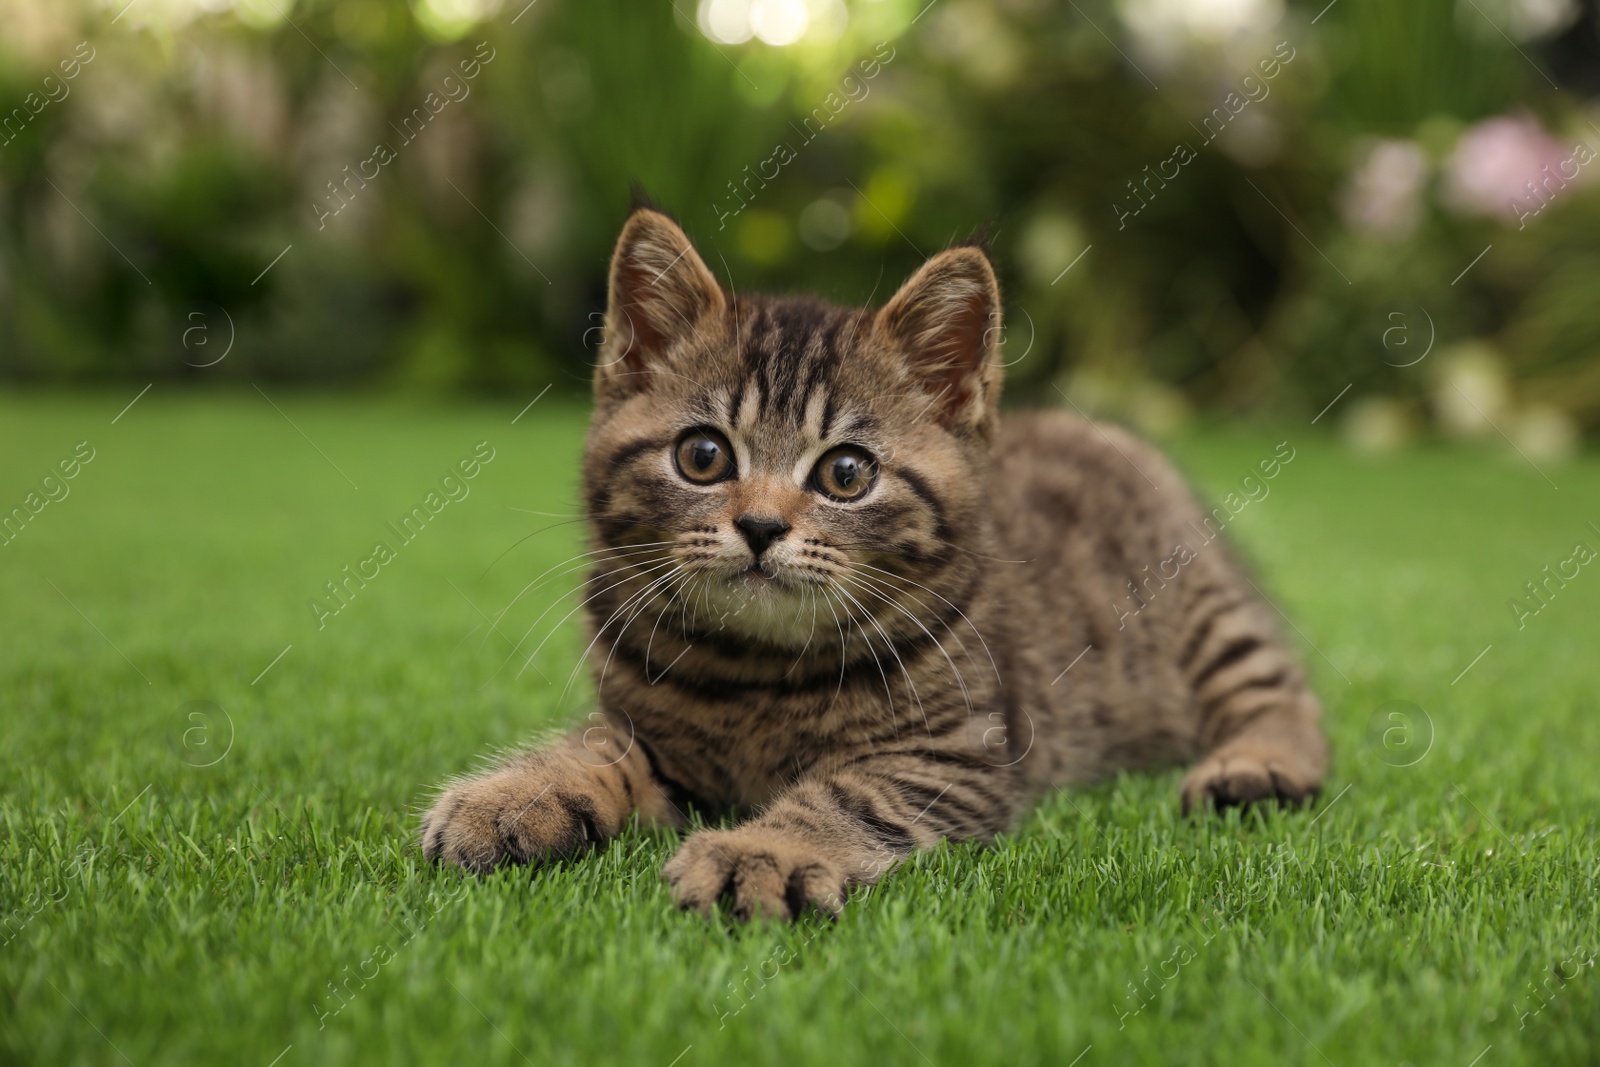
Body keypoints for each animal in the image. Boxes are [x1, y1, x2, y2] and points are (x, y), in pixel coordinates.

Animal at [419, 206, 1331, 921]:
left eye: (846, 473)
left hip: (1208, 610)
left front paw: (761, 852)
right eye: (703, 456)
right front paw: (516, 794)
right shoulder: (649, 725)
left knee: (1283, 693)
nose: (758, 525)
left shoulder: (958, 754)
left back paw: (1255, 766)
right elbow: (596, 746)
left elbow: (847, 793)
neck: (757, 673)